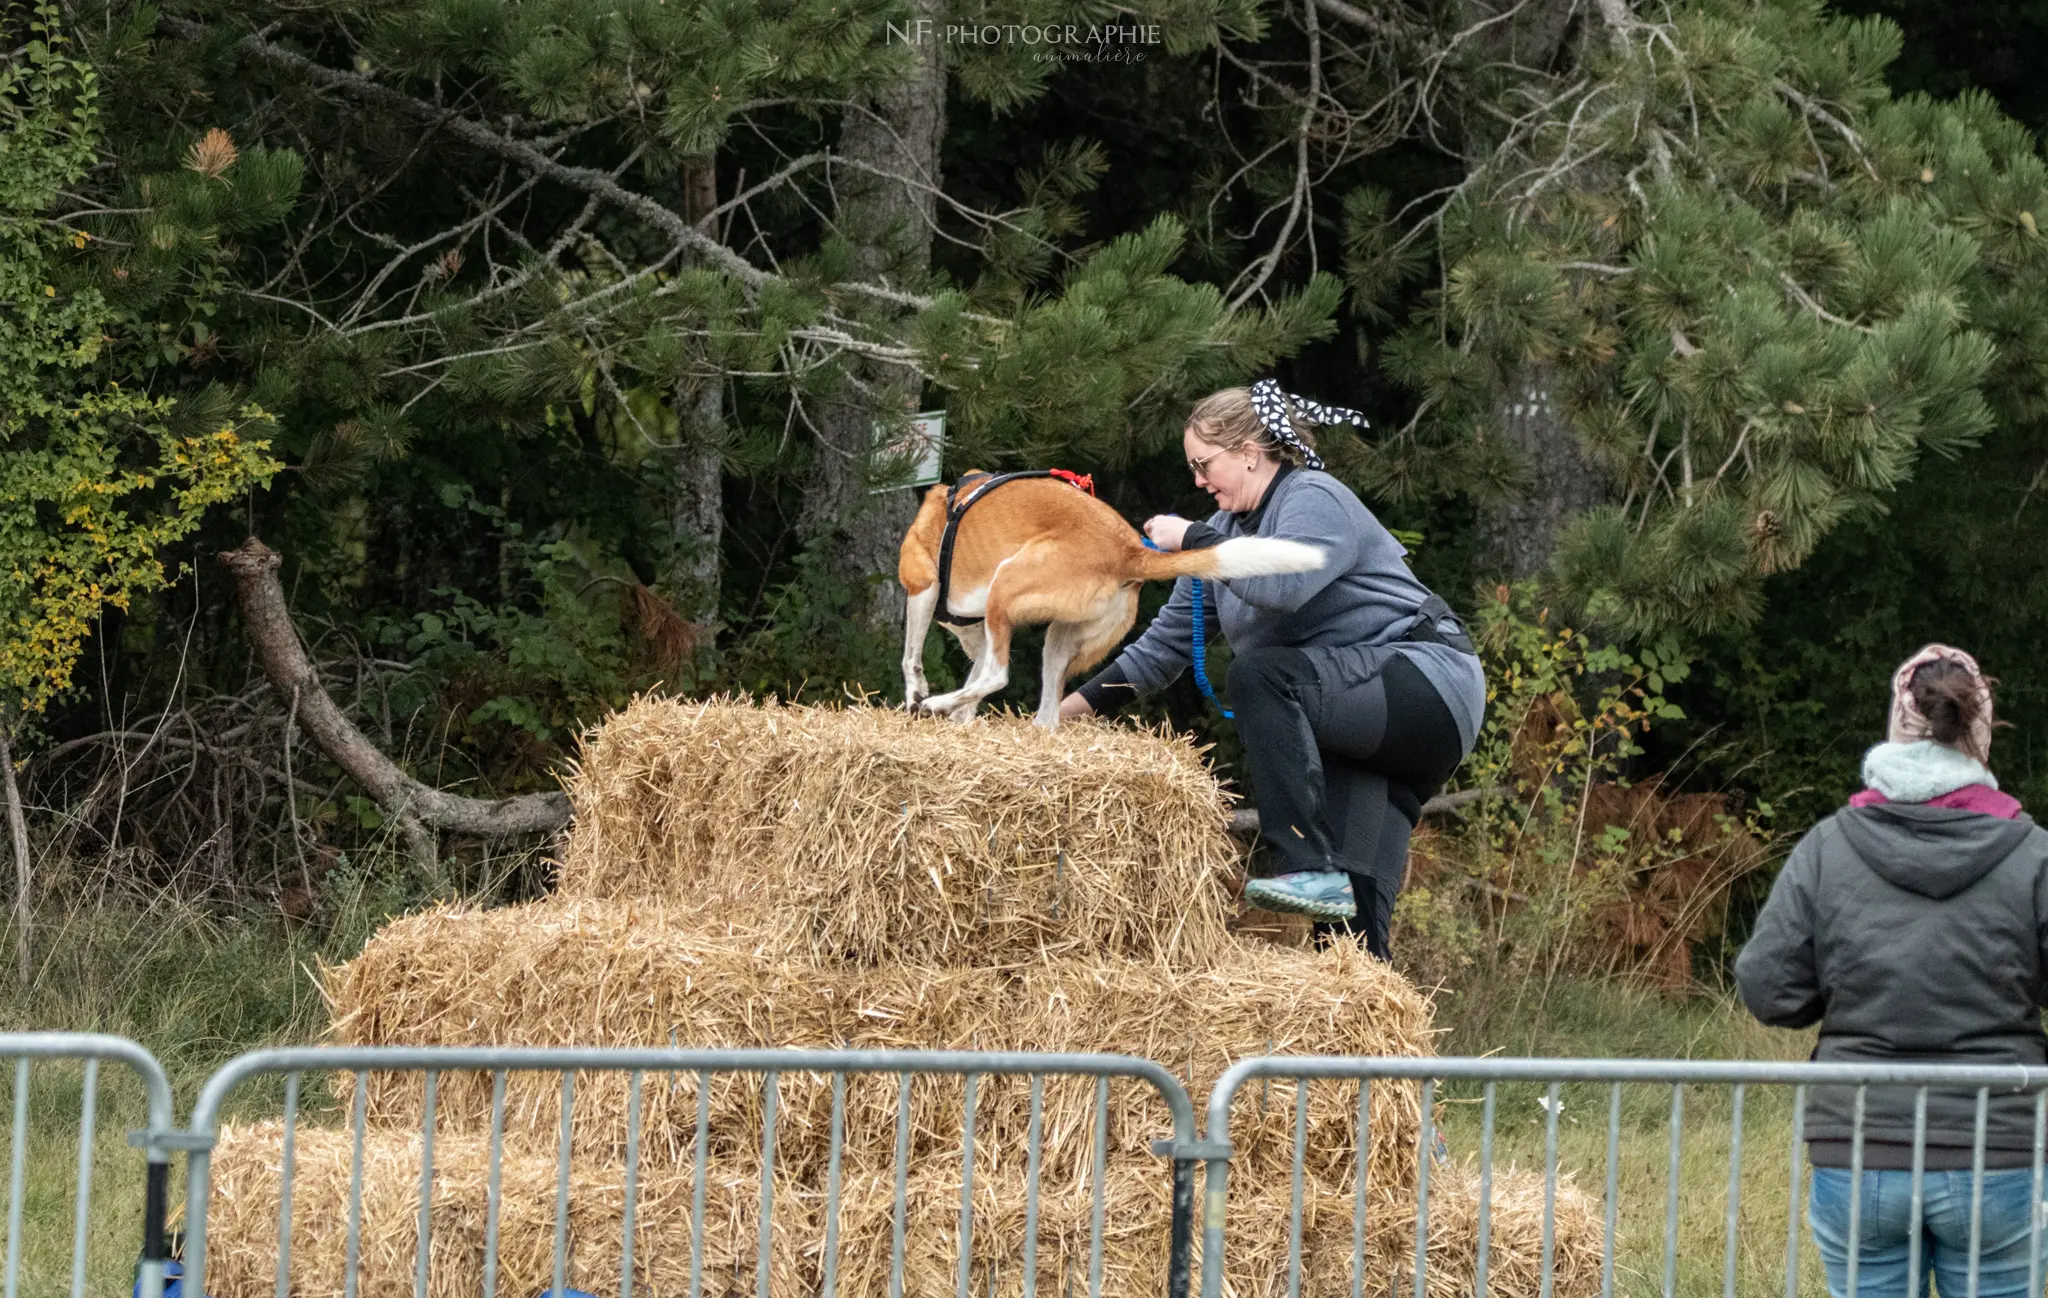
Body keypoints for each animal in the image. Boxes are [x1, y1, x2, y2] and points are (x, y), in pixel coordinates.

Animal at [901, 472, 1327, 728]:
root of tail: (1128, 551)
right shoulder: (981, 632)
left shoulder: (922, 588)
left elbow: (912, 657)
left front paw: (918, 697)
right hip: (1057, 640)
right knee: (1045, 715)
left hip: (1005, 587)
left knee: (997, 675)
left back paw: (936, 703)